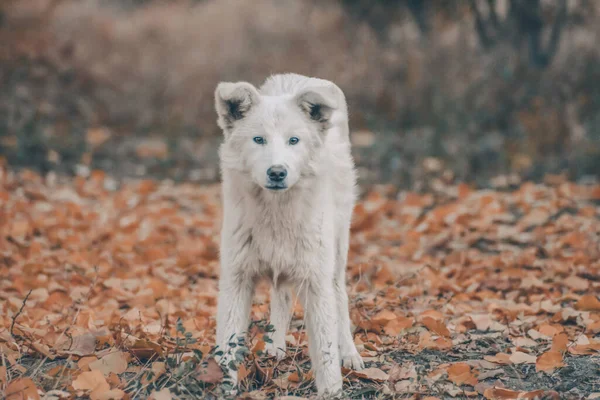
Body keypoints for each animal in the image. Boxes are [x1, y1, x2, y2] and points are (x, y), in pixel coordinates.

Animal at [216, 73, 366, 396]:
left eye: (293, 140)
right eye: (258, 139)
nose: (277, 172)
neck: (276, 214)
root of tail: (301, 78)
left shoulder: (316, 282)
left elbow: (325, 352)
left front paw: (332, 392)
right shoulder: (236, 279)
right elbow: (228, 346)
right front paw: (221, 388)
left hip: (336, 255)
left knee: (340, 296)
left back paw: (350, 354)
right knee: (281, 297)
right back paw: (276, 347)